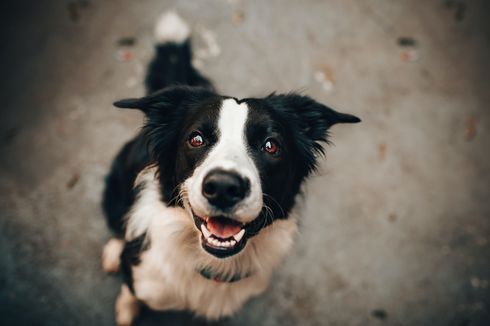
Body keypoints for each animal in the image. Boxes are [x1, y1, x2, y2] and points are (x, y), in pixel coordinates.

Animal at [100, 11, 360, 324]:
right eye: (196, 139)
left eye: (271, 145)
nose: (224, 187)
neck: (212, 263)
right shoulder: (142, 277)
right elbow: (130, 290)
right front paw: (126, 310)